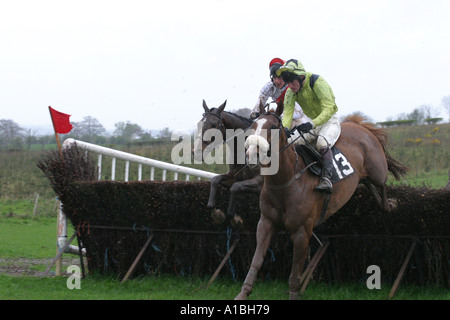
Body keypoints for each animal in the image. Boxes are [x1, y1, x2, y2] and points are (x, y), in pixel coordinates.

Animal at [236, 107, 408, 300]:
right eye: (253, 126)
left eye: (273, 127)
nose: (252, 155)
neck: (286, 182)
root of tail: (358, 125)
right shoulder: (265, 223)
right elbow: (256, 261)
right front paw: (242, 294)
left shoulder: (302, 231)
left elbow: (294, 275)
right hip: (362, 176)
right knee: (369, 184)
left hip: (377, 169)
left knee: (382, 183)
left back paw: (390, 204)